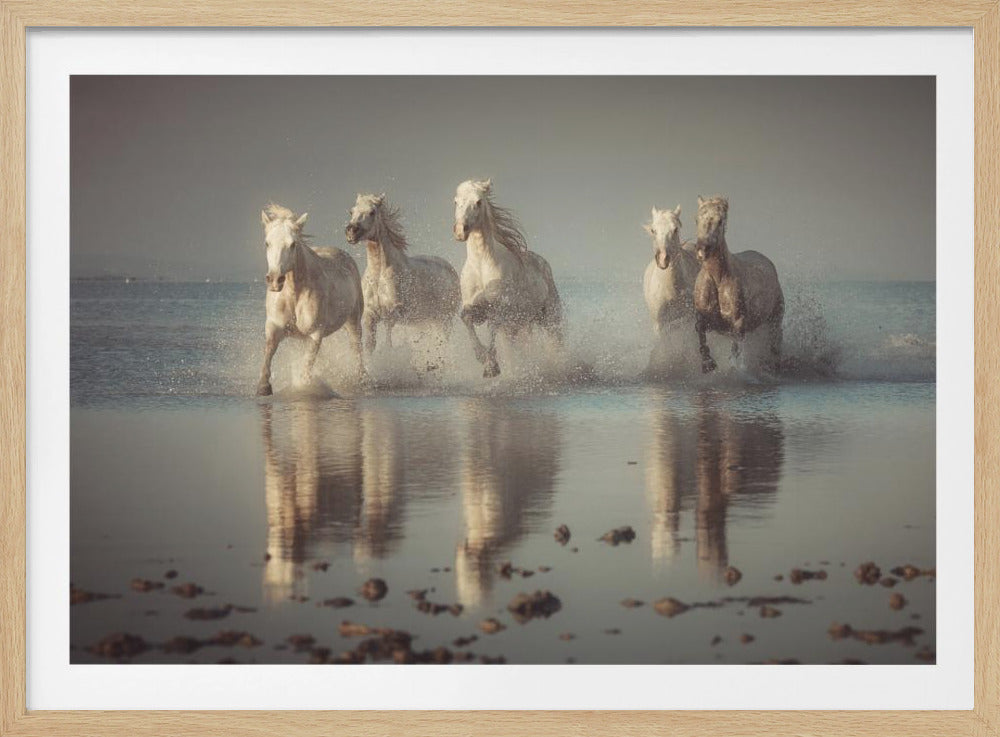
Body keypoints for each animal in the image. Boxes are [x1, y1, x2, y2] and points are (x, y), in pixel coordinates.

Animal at [256, 203, 365, 396]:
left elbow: (307, 364)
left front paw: (305, 388)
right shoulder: (274, 326)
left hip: (353, 321)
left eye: (292, 244)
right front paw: (264, 386)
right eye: (267, 243)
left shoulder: (315, 333)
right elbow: (269, 350)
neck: (294, 295)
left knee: (357, 349)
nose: (275, 280)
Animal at [345, 193, 460, 355]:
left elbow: (388, 342)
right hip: (428, 321)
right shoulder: (370, 315)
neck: (379, 275)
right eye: (352, 211)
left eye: (372, 212)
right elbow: (370, 345)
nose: (351, 231)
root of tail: (450, 270)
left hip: (444, 320)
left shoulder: (392, 314)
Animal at [453, 178, 562, 378]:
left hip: (549, 317)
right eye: (456, 201)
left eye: (478, 202)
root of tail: (543, 263)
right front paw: (482, 358)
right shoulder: (474, 307)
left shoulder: (500, 308)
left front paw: (491, 366)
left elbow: (492, 326)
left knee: (555, 343)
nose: (460, 231)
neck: (481, 267)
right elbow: (465, 317)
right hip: (518, 325)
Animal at [692, 196, 784, 373]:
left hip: (775, 318)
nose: (701, 250)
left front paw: (733, 367)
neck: (718, 280)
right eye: (697, 219)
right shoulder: (706, 319)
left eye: (720, 221)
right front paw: (708, 364)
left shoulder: (738, 323)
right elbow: (700, 330)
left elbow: (735, 348)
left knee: (775, 341)